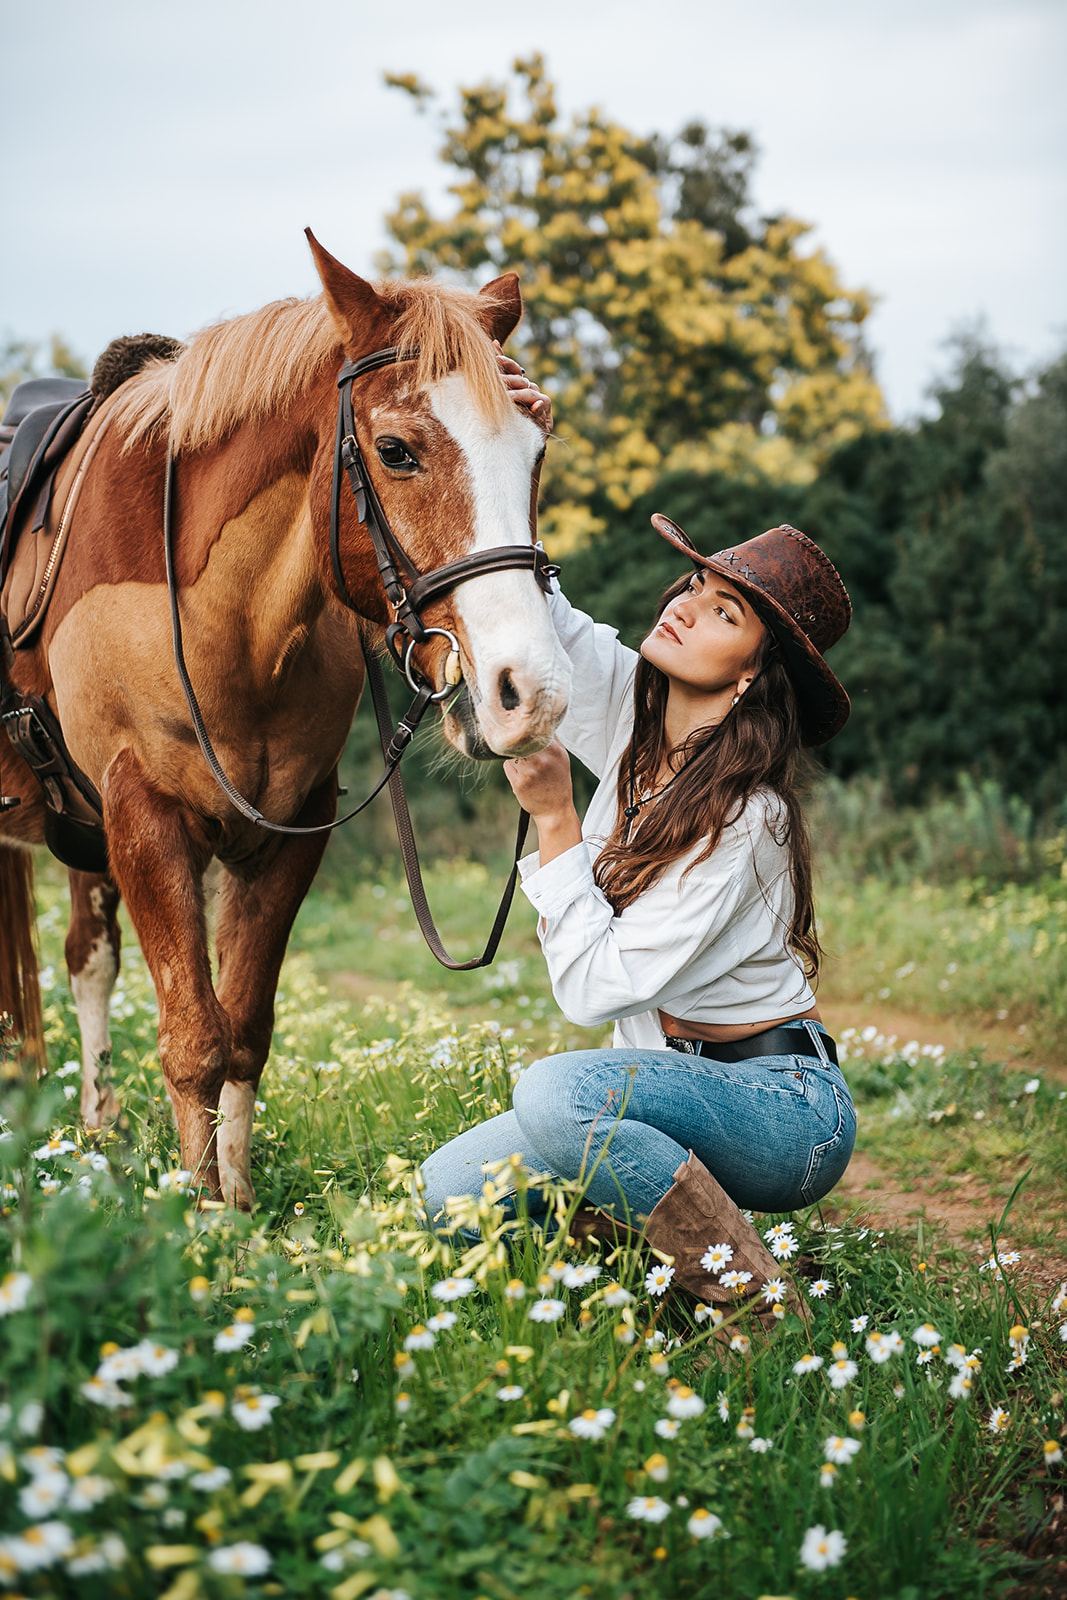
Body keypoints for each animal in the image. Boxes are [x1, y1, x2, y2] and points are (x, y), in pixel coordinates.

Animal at [0, 231, 572, 1205]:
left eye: (537, 446)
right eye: (395, 450)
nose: (523, 688)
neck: (227, 620)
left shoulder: (289, 829)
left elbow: (244, 1031)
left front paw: (235, 1201)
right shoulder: (146, 818)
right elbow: (194, 1037)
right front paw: (201, 1220)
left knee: (87, 954)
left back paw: (96, 1130)